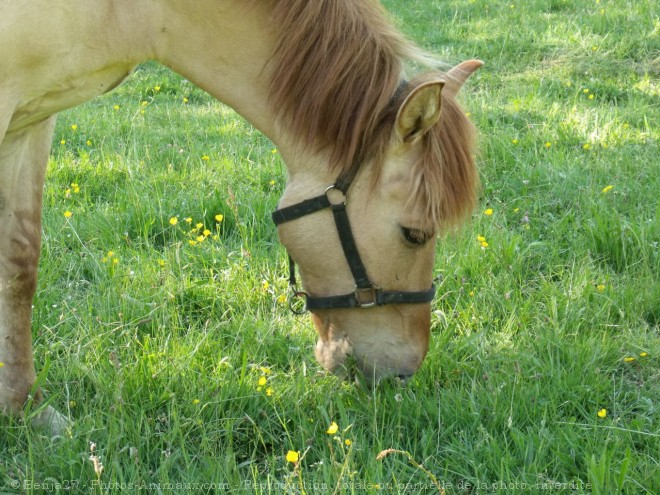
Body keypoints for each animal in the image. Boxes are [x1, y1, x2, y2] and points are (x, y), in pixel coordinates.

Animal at [0, 0, 480, 434]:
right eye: (415, 234)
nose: (404, 374)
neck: (137, 11)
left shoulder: (33, 120)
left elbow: (19, 264)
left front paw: (25, 407)